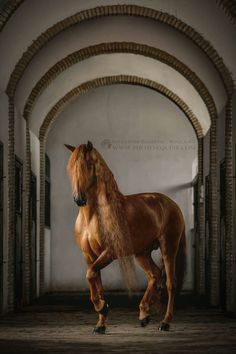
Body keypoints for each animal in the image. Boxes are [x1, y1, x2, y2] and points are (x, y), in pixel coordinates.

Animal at [65, 140, 186, 332]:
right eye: (71, 168)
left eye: (89, 165)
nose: (79, 199)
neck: (93, 216)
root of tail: (171, 204)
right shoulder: (89, 256)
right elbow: (95, 282)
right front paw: (101, 322)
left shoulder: (109, 253)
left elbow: (90, 275)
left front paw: (102, 307)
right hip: (142, 253)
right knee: (154, 275)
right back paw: (144, 314)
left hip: (169, 248)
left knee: (170, 283)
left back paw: (165, 322)